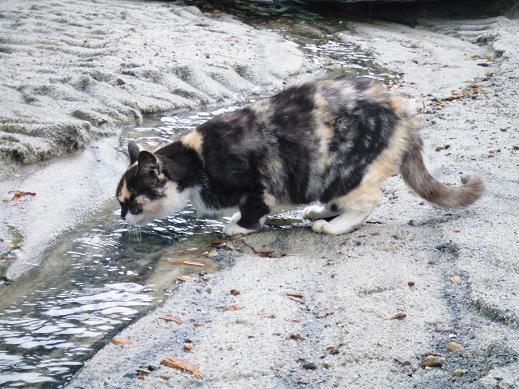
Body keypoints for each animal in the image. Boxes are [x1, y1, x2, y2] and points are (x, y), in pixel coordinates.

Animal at [116, 79, 486, 233]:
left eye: (132, 202)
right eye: (120, 203)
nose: (121, 219)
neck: (197, 161)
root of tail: (405, 116)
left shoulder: (258, 184)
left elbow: (253, 210)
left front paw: (239, 227)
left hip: (346, 172)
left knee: (367, 203)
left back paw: (333, 227)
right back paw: (319, 211)